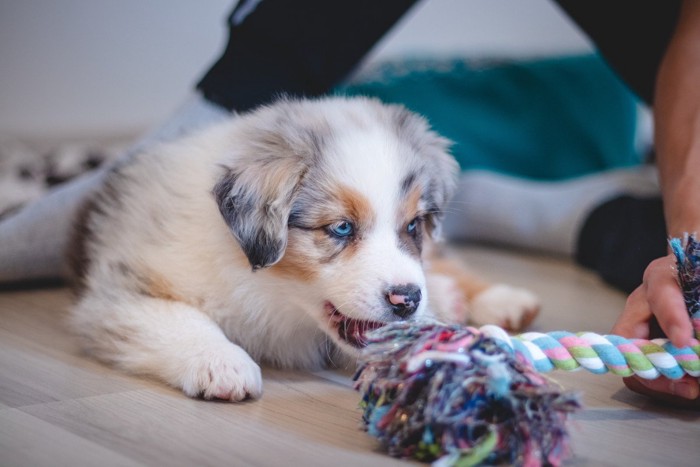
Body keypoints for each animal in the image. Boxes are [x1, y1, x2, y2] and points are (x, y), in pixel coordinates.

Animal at [68, 96, 540, 402]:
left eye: (411, 226)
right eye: (341, 228)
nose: (407, 300)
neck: (272, 294)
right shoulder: (122, 289)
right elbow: (179, 317)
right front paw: (223, 363)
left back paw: (499, 300)